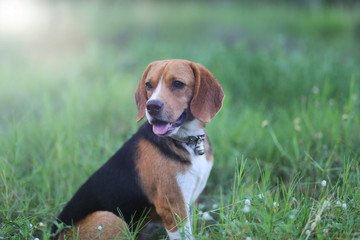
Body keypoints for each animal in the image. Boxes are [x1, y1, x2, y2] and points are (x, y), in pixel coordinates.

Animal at [50, 59, 225, 239]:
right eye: (148, 85)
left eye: (178, 84)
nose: (151, 106)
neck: (188, 141)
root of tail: (53, 233)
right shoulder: (173, 207)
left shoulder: (190, 201)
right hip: (112, 219)